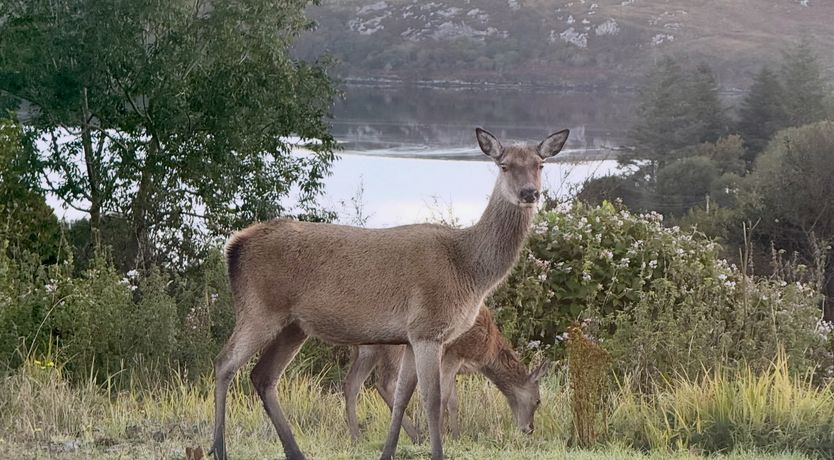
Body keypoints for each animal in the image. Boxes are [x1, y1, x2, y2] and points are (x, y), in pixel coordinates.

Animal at [343, 305, 550, 443]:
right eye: (538, 401)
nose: (529, 428)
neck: (486, 352)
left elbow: (452, 400)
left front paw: (456, 435)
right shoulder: (455, 353)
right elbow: (443, 397)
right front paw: (440, 435)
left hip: (366, 349)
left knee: (351, 384)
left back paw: (357, 437)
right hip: (397, 348)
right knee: (384, 383)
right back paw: (417, 435)